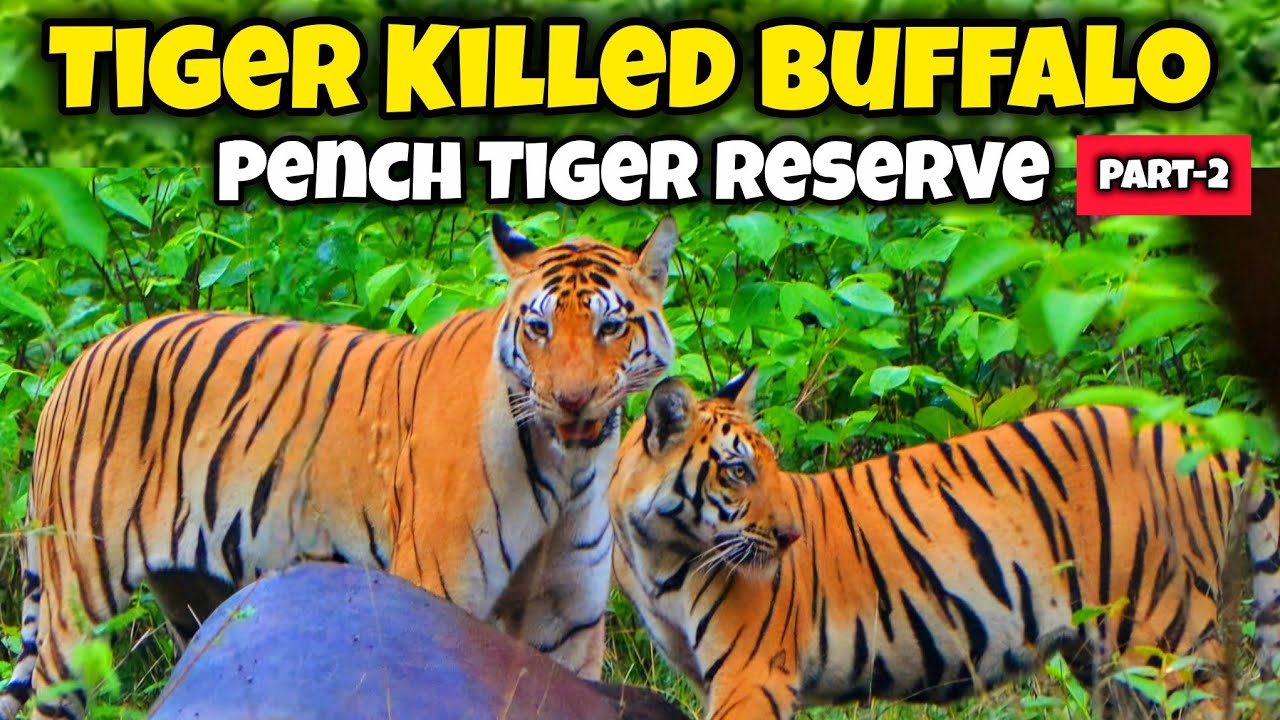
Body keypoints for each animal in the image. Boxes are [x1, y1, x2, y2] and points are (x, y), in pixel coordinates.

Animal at [1, 214, 679, 720]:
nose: (571, 399)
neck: (569, 465)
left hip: (199, 598)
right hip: (79, 604)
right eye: (539, 328)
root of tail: (74, 368)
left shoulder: (565, 618)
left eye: (610, 327)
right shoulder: (441, 588)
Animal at [609, 368, 1280, 720]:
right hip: (1111, 661)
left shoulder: (751, 678)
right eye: (738, 471)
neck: (658, 555)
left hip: (1164, 638)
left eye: (766, 466)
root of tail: (1203, 434)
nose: (791, 535)